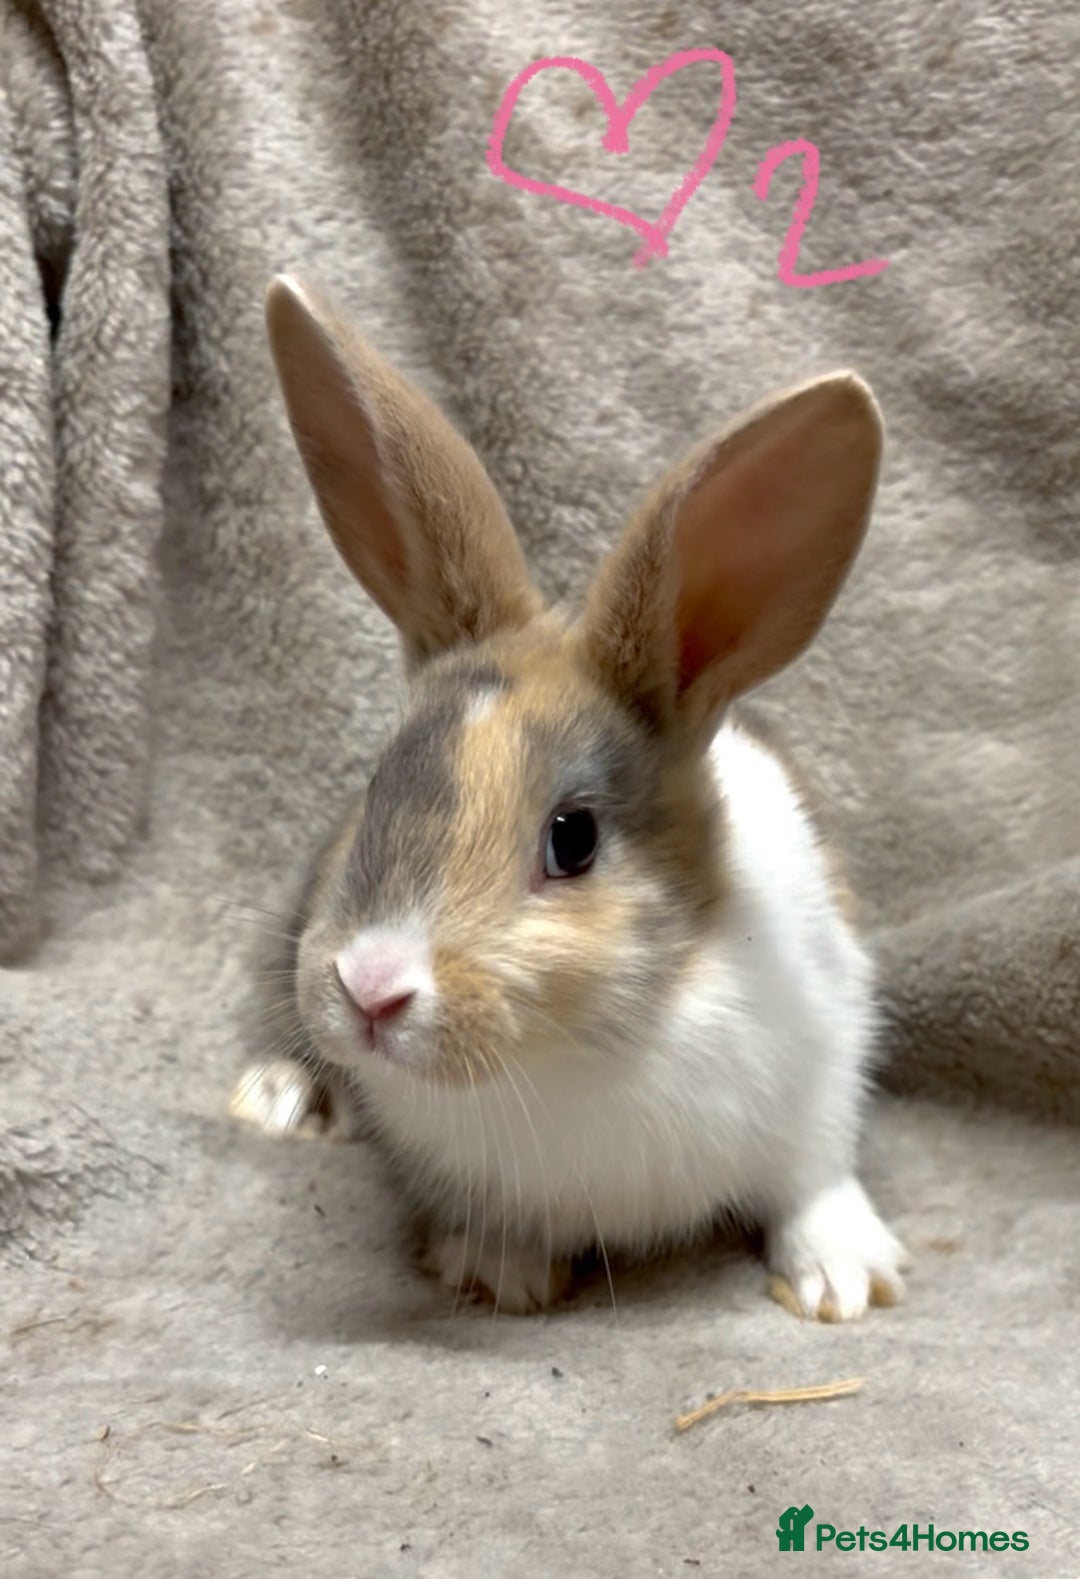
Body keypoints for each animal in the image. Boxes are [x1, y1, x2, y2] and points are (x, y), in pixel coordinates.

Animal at [232, 273, 907, 1321]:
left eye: (574, 838)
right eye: (377, 784)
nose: (371, 991)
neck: (585, 1045)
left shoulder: (828, 1058)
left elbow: (815, 1177)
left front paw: (843, 1281)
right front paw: (497, 1268)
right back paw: (275, 1097)